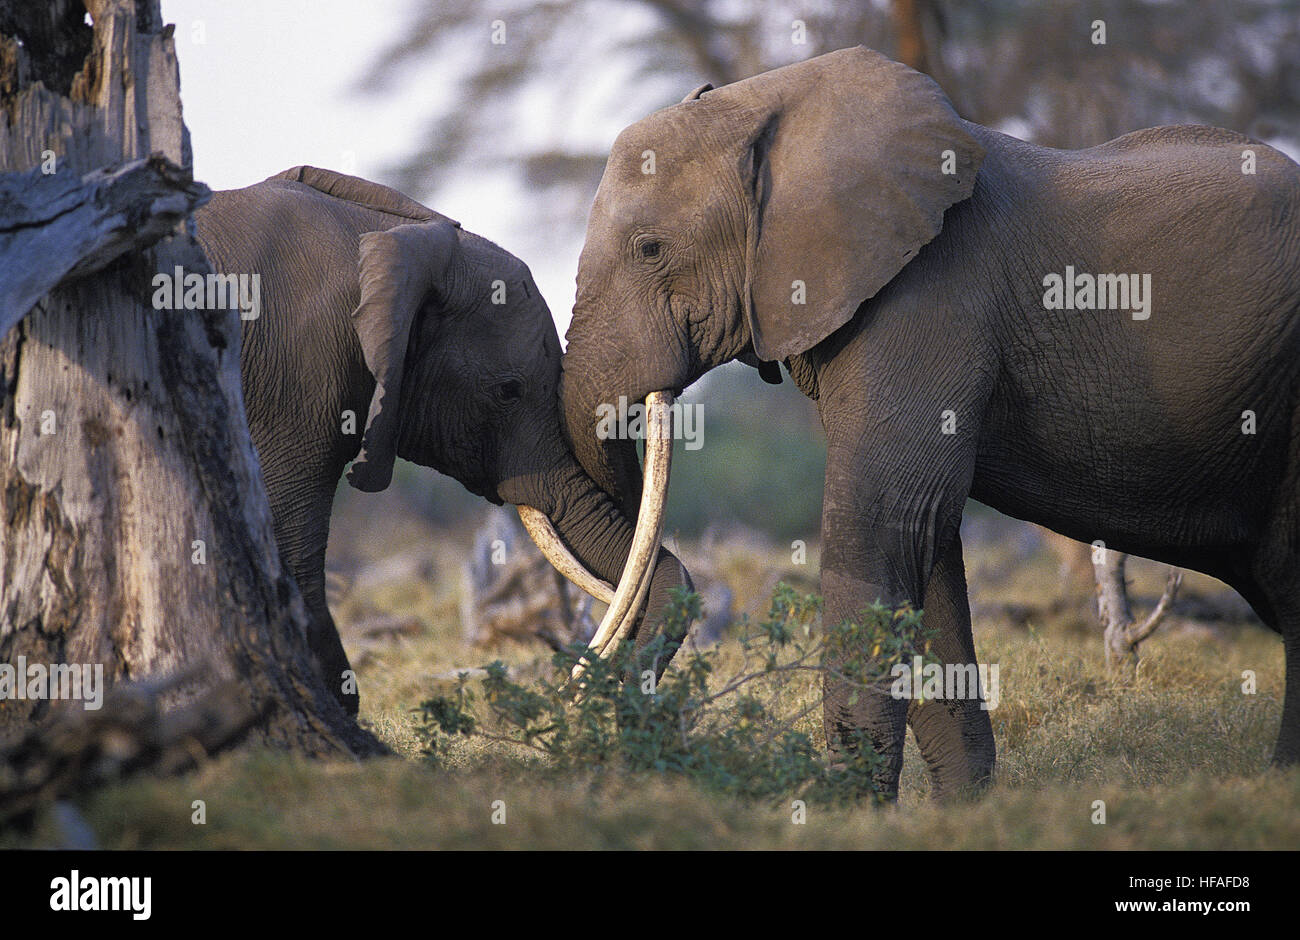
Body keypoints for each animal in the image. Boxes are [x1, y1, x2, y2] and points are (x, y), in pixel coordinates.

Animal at [564, 47, 1300, 800]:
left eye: (650, 249)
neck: (772, 101)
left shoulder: (929, 295)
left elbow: (883, 519)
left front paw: (845, 808)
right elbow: (926, 541)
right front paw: (964, 809)